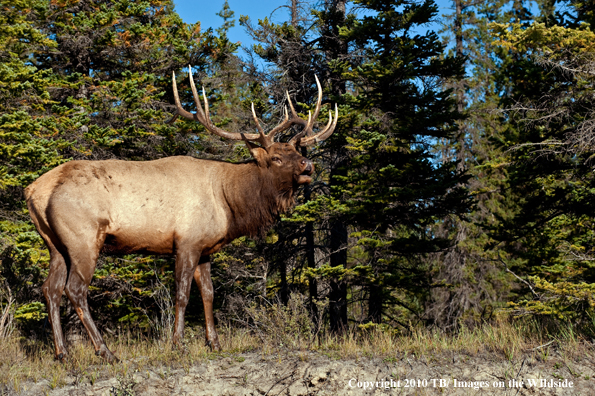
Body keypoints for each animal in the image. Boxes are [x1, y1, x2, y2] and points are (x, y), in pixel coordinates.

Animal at [25, 67, 338, 362]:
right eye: (276, 157)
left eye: (296, 151)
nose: (308, 165)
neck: (228, 202)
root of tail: (34, 190)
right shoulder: (186, 242)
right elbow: (183, 294)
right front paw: (178, 343)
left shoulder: (206, 248)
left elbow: (209, 293)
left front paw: (214, 343)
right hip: (84, 237)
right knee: (75, 289)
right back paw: (105, 351)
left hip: (55, 244)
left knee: (50, 288)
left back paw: (62, 353)